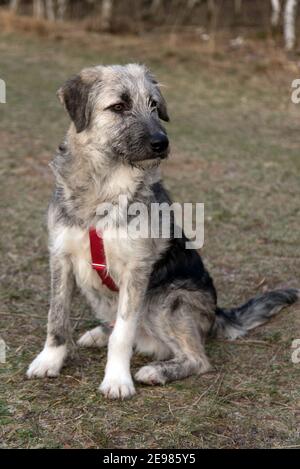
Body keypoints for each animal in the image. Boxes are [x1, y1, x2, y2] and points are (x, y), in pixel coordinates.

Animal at [27, 63, 298, 398]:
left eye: (154, 105)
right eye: (119, 106)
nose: (162, 143)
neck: (104, 189)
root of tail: (216, 313)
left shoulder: (136, 269)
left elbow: (123, 335)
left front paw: (117, 379)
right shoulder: (61, 257)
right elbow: (57, 317)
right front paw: (49, 360)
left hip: (167, 300)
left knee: (197, 359)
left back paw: (157, 370)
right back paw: (100, 333)